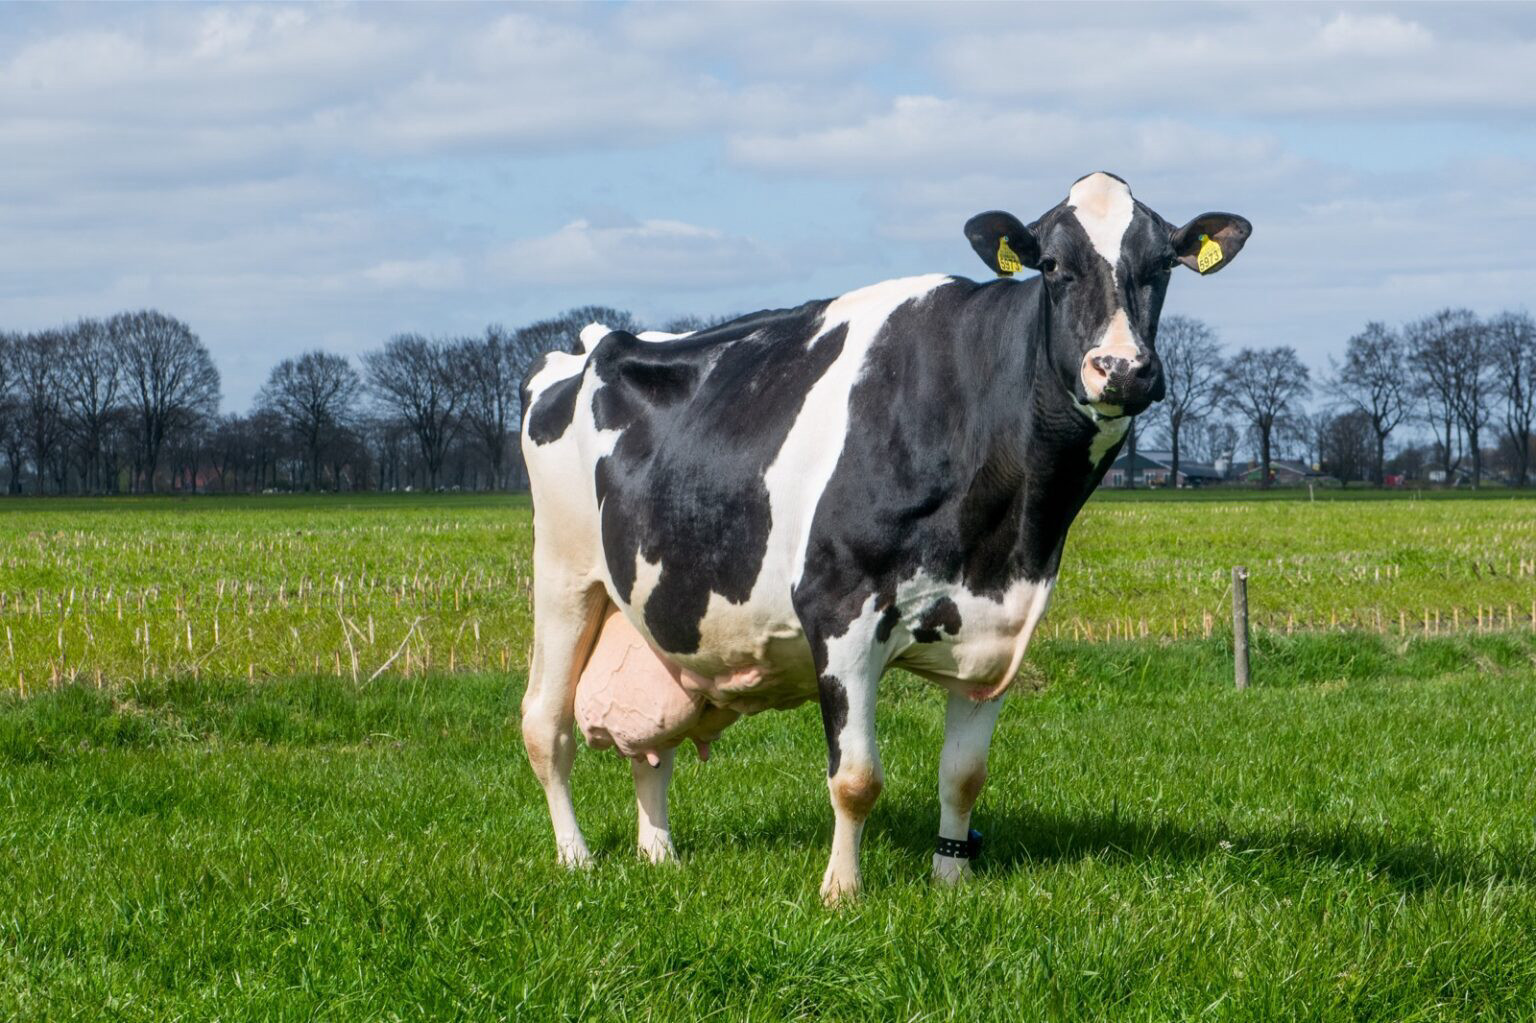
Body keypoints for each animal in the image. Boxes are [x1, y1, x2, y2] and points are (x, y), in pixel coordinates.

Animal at [519, 173, 1247, 903]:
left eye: (1162, 265)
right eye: (1050, 265)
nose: (1122, 369)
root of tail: (592, 342)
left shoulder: (996, 631)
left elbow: (964, 775)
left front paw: (951, 876)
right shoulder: (839, 608)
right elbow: (856, 777)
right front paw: (842, 892)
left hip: (655, 607)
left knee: (653, 746)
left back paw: (659, 853)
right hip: (563, 574)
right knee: (545, 724)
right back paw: (576, 857)